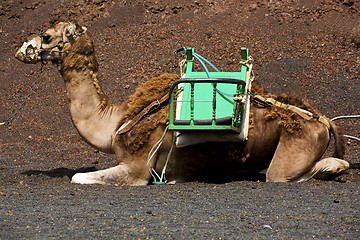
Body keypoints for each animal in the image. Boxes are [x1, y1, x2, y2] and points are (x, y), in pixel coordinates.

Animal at [14, 22, 348, 185]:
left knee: (284, 174)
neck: (114, 122)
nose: (20, 50)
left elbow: (77, 177)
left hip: (296, 147)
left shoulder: (137, 168)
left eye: (46, 36)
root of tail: (322, 120)